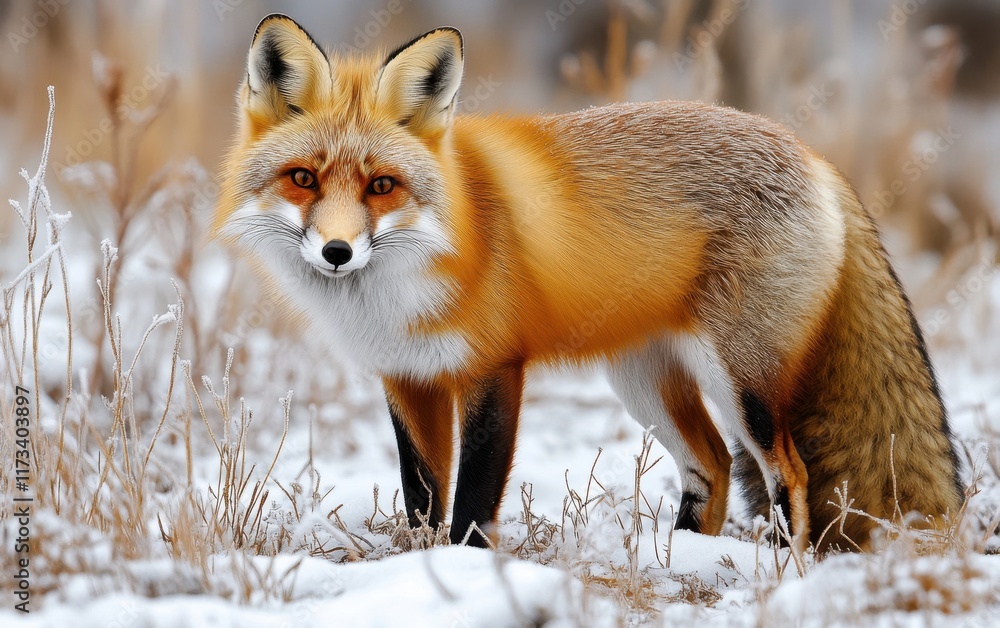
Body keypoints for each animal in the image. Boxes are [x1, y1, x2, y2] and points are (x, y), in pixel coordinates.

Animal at [215, 14, 964, 554]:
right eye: (303, 178)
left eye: (381, 186)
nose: (337, 252)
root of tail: (812, 153)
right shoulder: (408, 377)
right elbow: (422, 497)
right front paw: (417, 567)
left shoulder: (495, 368)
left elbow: (473, 501)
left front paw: (464, 571)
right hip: (642, 381)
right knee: (714, 466)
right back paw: (684, 559)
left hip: (741, 382)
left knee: (788, 470)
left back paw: (780, 565)